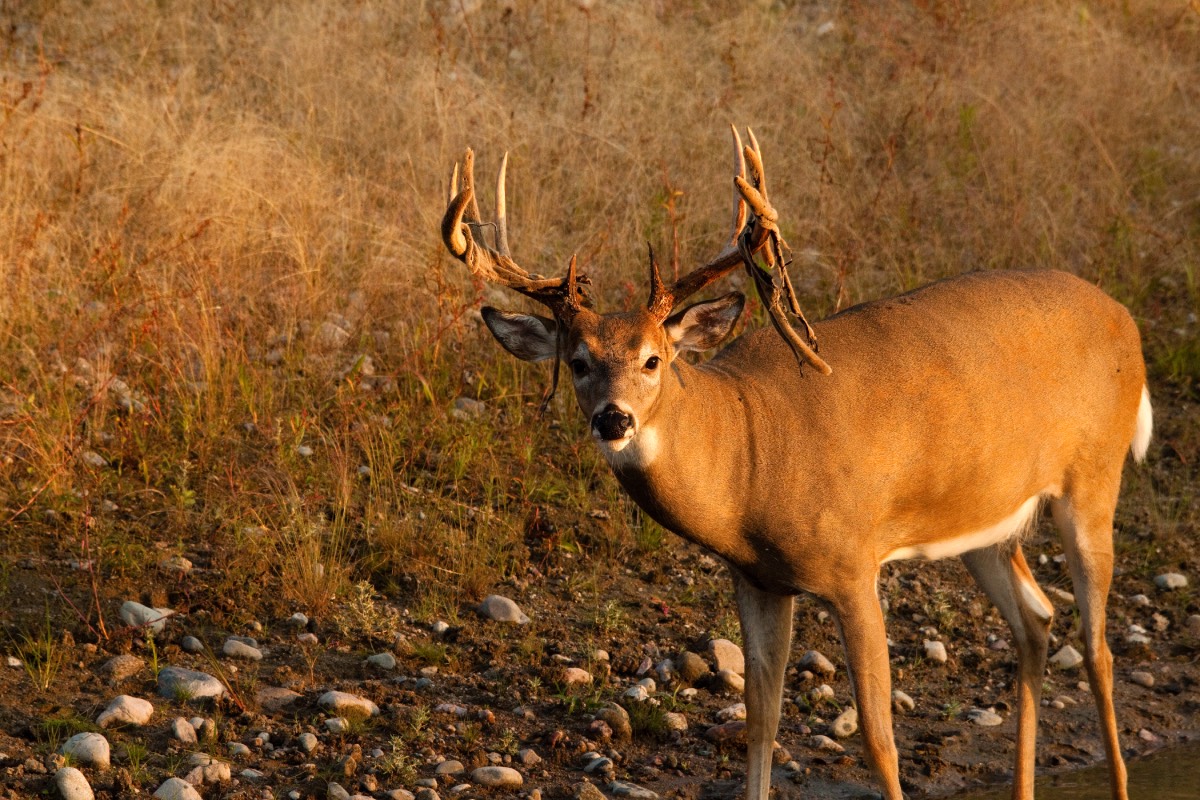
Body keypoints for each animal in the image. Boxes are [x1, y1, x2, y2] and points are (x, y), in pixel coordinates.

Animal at [436, 128, 1147, 800]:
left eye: (652, 359)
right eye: (578, 361)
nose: (614, 420)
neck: (749, 454)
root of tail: (1125, 317)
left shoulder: (854, 564)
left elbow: (879, 737)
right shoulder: (758, 579)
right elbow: (761, 722)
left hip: (1093, 478)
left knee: (1098, 647)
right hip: (987, 523)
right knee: (1036, 621)